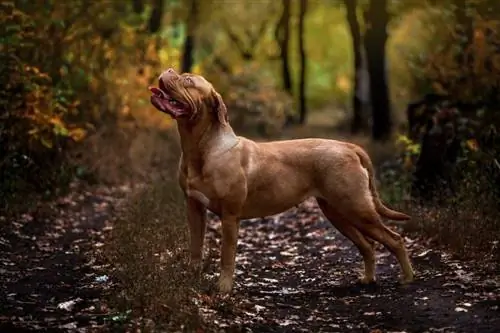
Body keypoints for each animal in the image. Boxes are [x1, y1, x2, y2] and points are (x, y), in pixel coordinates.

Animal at [148, 68, 414, 294]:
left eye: (188, 80)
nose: (169, 69)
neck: (201, 148)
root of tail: (349, 147)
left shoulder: (230, 216)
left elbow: (227, 255)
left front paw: (223, 288)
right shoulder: (194, 208)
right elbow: (196, 247)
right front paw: (191, 280)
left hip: (357, 208)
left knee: (395, 239)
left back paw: (407, 278)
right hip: (337, 212)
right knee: (367, 245)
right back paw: (368, 279)